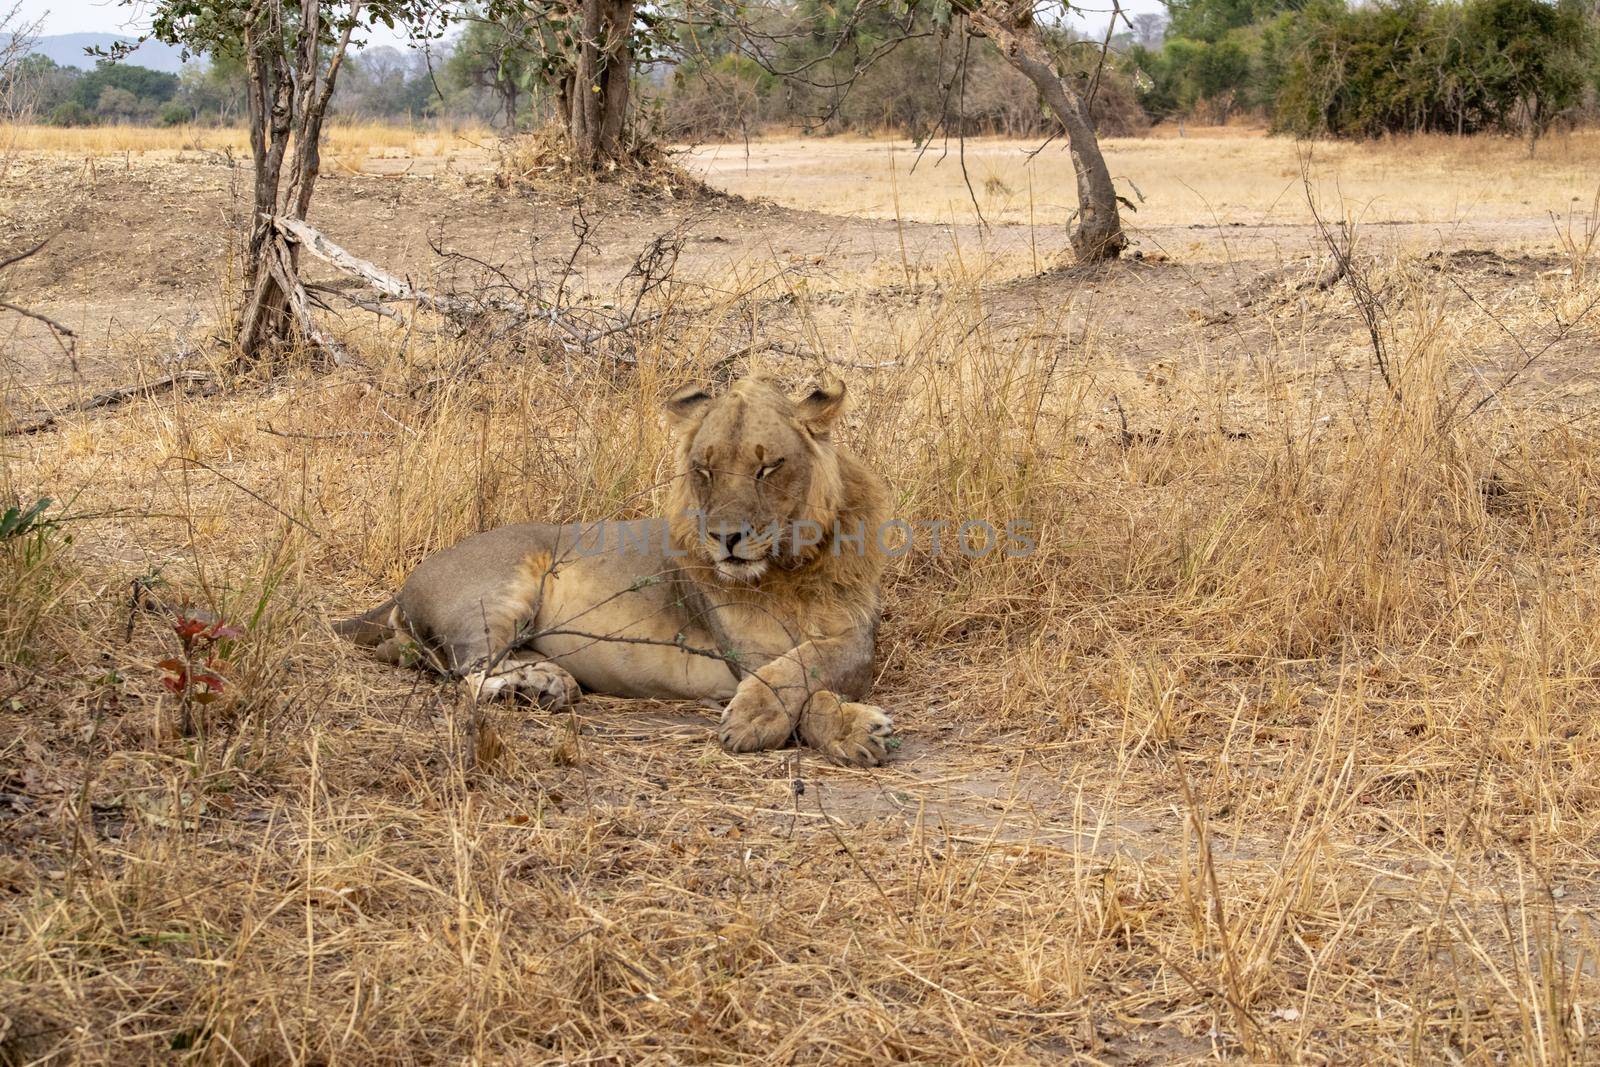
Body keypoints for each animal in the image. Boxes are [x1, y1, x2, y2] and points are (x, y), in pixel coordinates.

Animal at [329, 374, 896, 767]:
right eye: (704, 470)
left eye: (768, 467)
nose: (725, 538)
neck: (790, 567)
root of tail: (405, 583)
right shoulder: (746, 651)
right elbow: (796, 676)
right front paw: (829, 726)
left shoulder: (856, 634)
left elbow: (810, 664)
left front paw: (839, 727)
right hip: (502, 590)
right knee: (464, 673)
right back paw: (535, 688)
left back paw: (546, 682)